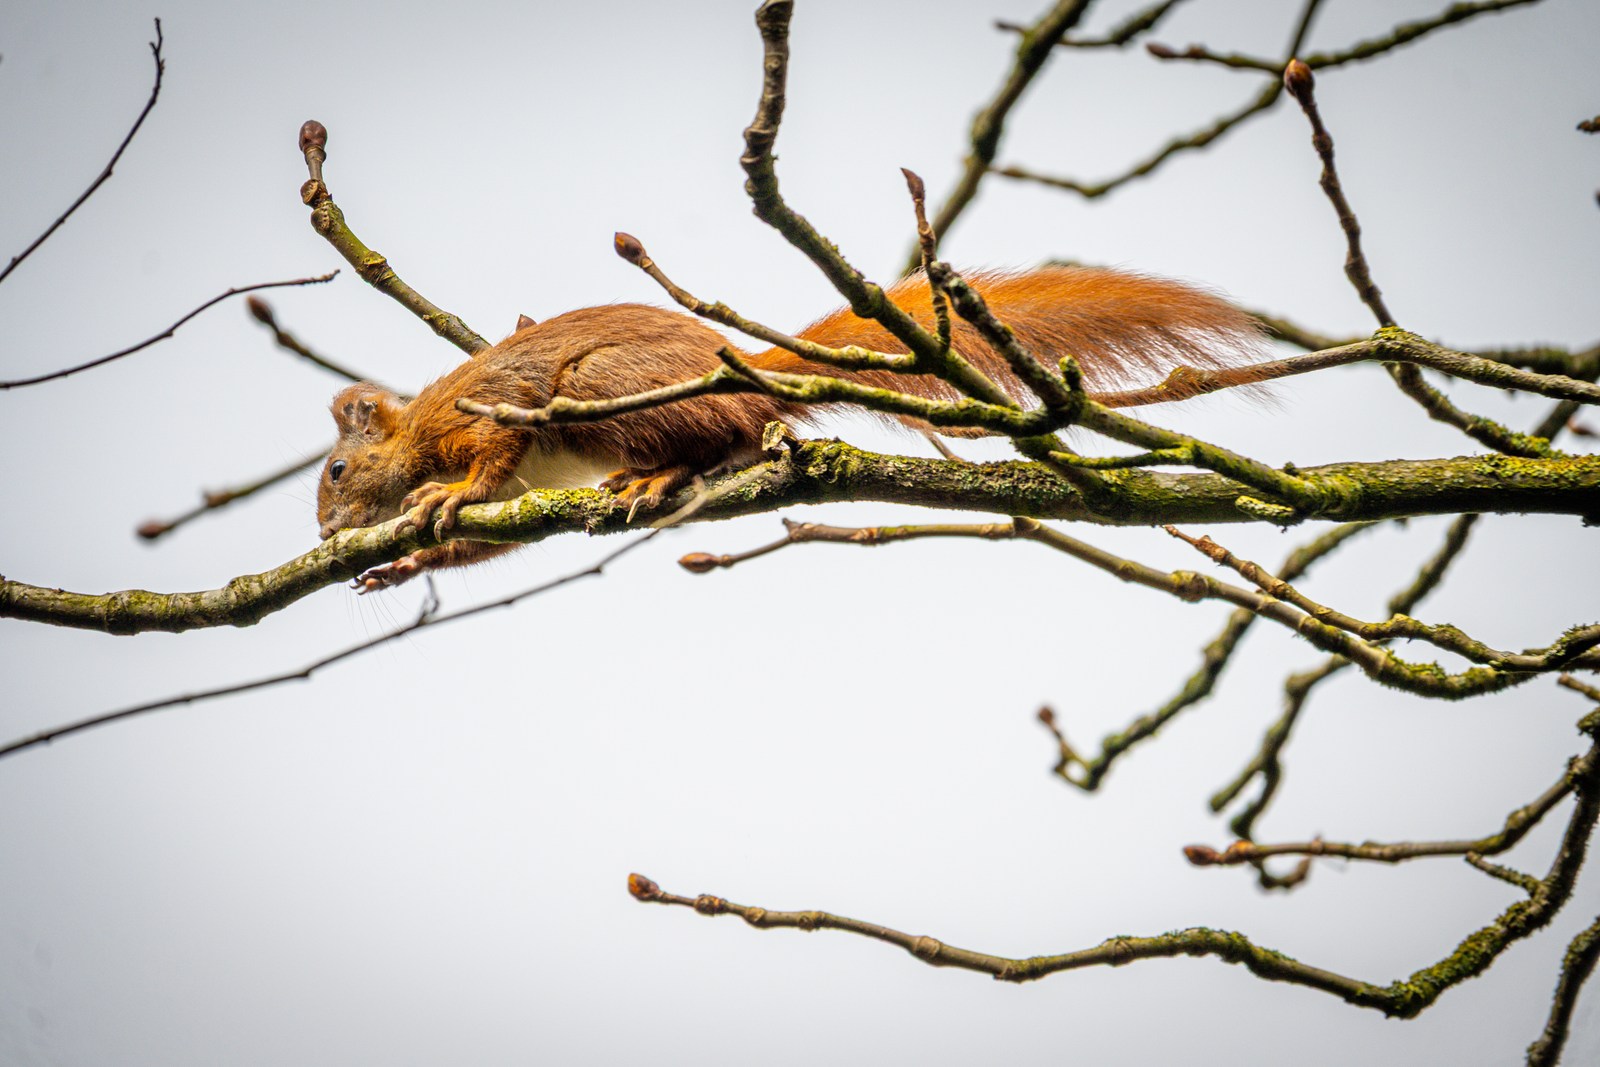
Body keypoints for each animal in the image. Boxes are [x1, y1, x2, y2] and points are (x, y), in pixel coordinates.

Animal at [318, 264, 1267, 591]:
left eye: (333, 473)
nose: (325, 531)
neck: (410, 436)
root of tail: (744, 372)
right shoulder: (524, 492)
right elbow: (490, 535)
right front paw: (404, 563)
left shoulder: (485, 413)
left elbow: (489, 459)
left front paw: (438, 499)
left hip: (604, 388)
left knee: (724, 438)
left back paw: (662, 473)